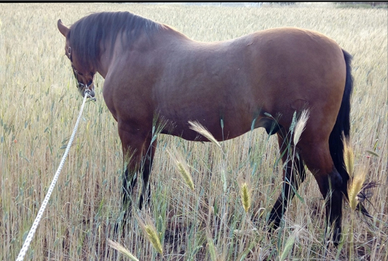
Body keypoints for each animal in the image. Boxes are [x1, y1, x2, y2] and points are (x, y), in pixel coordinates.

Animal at [56, 10, 366, 244]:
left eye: (68, 52)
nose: (84, 89)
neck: (128, 49)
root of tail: (337, 49)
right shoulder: (149, 134)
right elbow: (145, 174)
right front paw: (145, 215)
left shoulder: (131, 132)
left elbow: (128, 179)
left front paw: (121, 225)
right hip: (288, 134)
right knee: (293, 177)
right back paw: (270, 225)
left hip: (308, 138)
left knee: (330, 182)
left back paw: (331, 240)